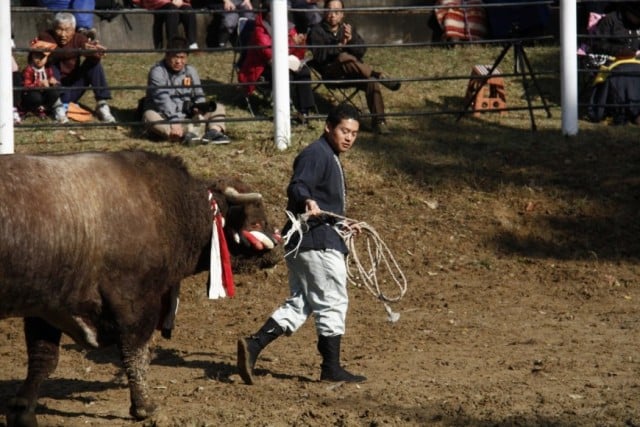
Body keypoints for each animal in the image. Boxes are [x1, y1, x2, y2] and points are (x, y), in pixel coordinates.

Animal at [0, 150, 280, 427]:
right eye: (256, 223)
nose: (278, 249)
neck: (169, 209)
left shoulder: (46, 309)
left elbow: (43, 359)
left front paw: (23, 410)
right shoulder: (135, 303)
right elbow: (135, 353)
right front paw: (144, 405)